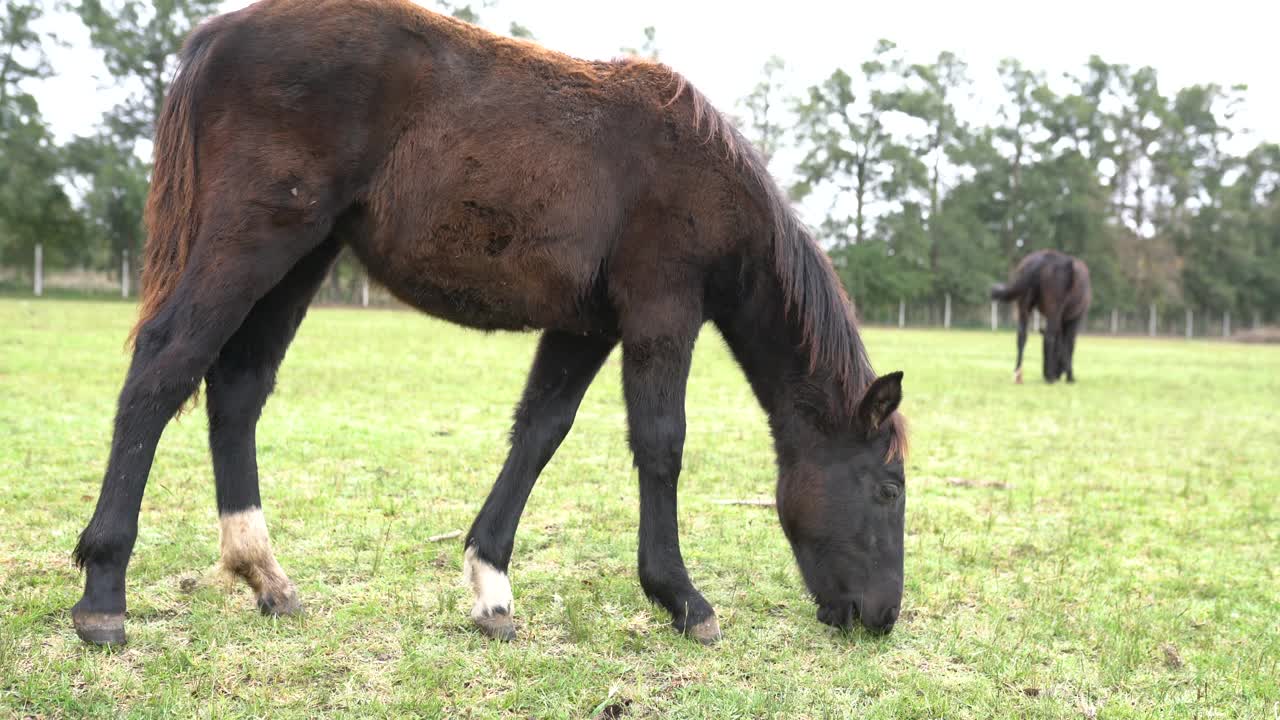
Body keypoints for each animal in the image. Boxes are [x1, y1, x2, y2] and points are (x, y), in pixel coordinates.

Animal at [72, 0, 911, 645]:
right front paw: (681, 598)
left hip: (301, 259)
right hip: (253, 242)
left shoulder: (586, 327)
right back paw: (104, 594)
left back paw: (266, 577)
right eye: (889, 488)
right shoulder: (662, 309)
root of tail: (219, 33)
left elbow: (540, 431)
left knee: (238, 388)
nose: (881, 617)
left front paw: (491, 587)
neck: (703, 171)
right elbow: (661, 443)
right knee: (166, 364)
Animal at [988, 245, 1090, 381]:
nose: (1055, 374)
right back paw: (1050, 378)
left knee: (1021, 337)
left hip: (1023, 304)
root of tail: (1041, 259)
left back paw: (1018, 374)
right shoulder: (1075, 317)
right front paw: (1070, 377)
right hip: (1054, 307)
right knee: (1049, 337)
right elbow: (1069, 344)